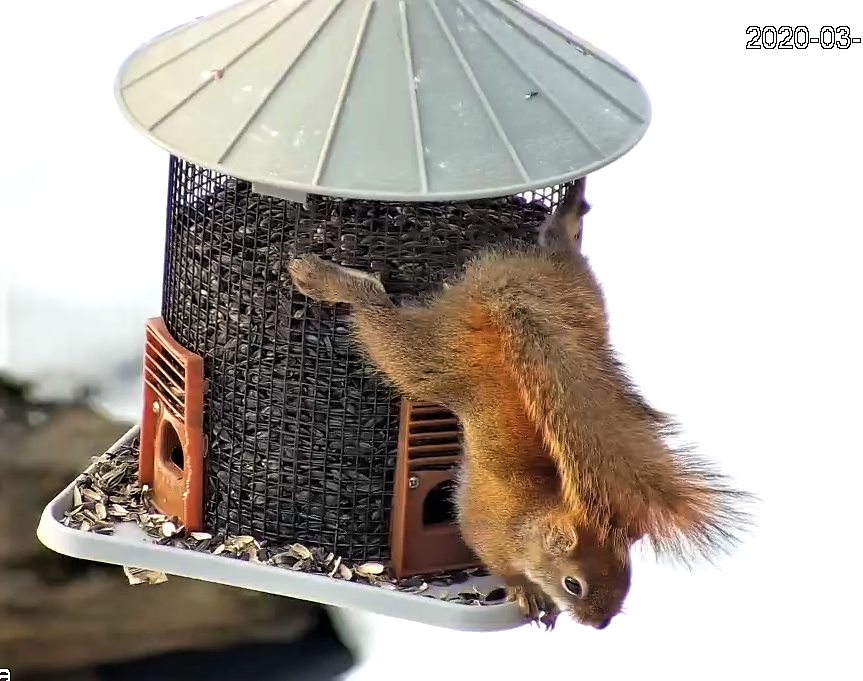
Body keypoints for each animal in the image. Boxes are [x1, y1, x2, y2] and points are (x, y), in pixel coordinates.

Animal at [287, 177, 754, 631]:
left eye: (627, 582)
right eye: (573, 584)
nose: (600, 625)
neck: (531, 519)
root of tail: (513, 294)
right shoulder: (485, 529)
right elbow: (499, 562)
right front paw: (526, 592)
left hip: (583, 299)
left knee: (562, 255)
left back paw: (566, 219)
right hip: (439, 363)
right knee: (383, 324)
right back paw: (329, 281)